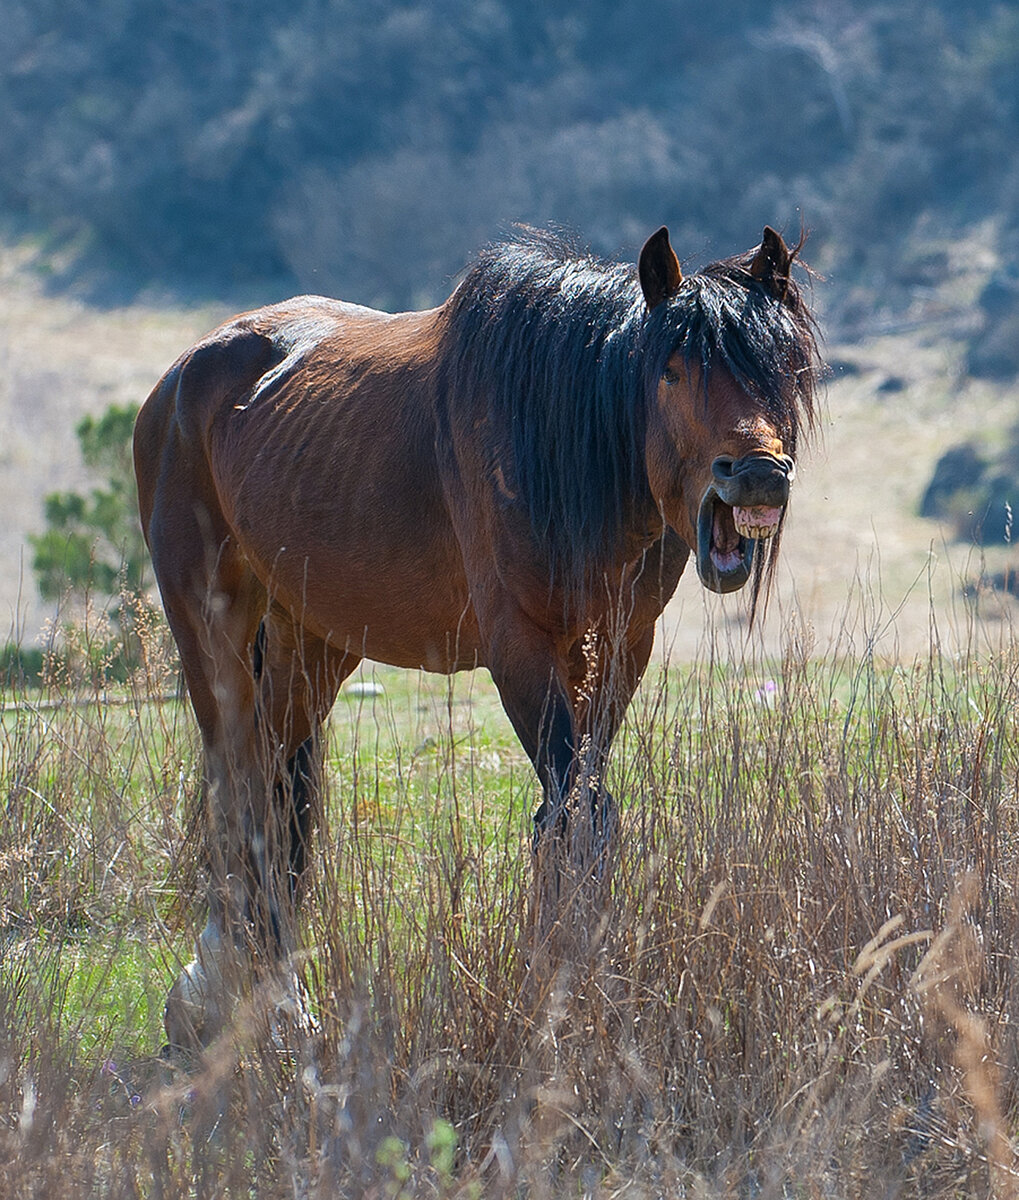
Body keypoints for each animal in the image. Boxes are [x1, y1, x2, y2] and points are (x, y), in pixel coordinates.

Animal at [133, 225, 820, 1051]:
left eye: (781, 365)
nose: (755, 475)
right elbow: (570, 816)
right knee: (234, 787)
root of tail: (183, 375)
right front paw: (560, 998)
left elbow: (581, 812)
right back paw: (215, 997)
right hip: (214, 628)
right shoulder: (519, 647)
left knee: (272, 790)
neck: (561, 443)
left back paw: (273, 999)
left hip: (311, 644)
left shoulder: (620, 647)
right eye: (672, 370)